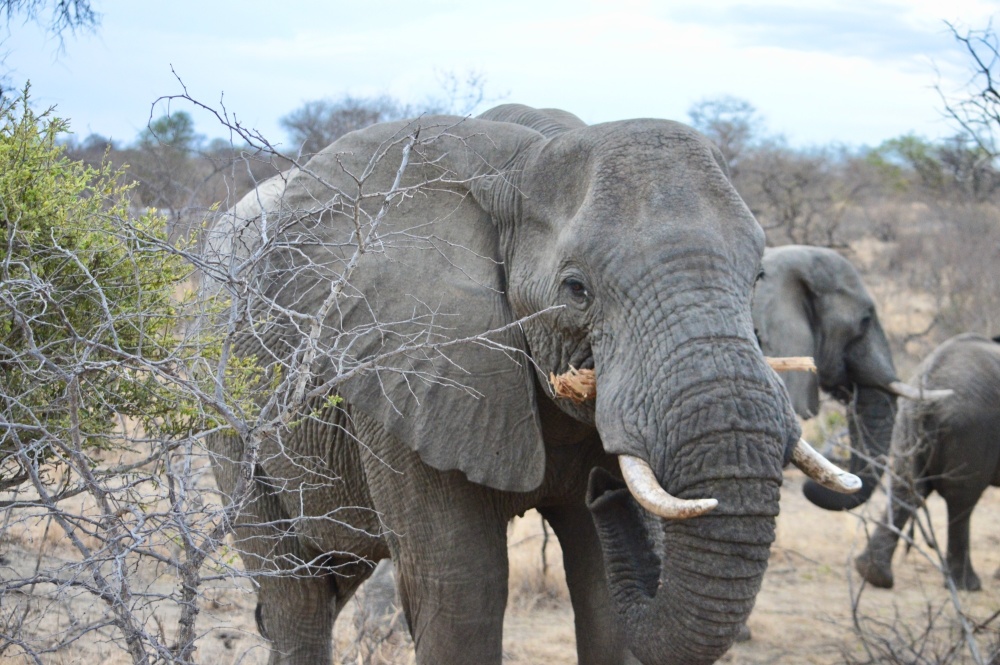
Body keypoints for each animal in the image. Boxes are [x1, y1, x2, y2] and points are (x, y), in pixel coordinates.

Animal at [199, 104, 856, 664]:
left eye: (758, 277)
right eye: (576, 289)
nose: (605, 492)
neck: (525, 159)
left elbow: (602, 592)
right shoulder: (403, 370)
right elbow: (463, 595)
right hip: (226, 403)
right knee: (297, 596)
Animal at [852, 334, 1000, 588]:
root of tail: (928, 387)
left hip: (906, 423)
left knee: (905, 488)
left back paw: (873, 574)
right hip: (973, 431)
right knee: (962, 501)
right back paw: (966, 586)